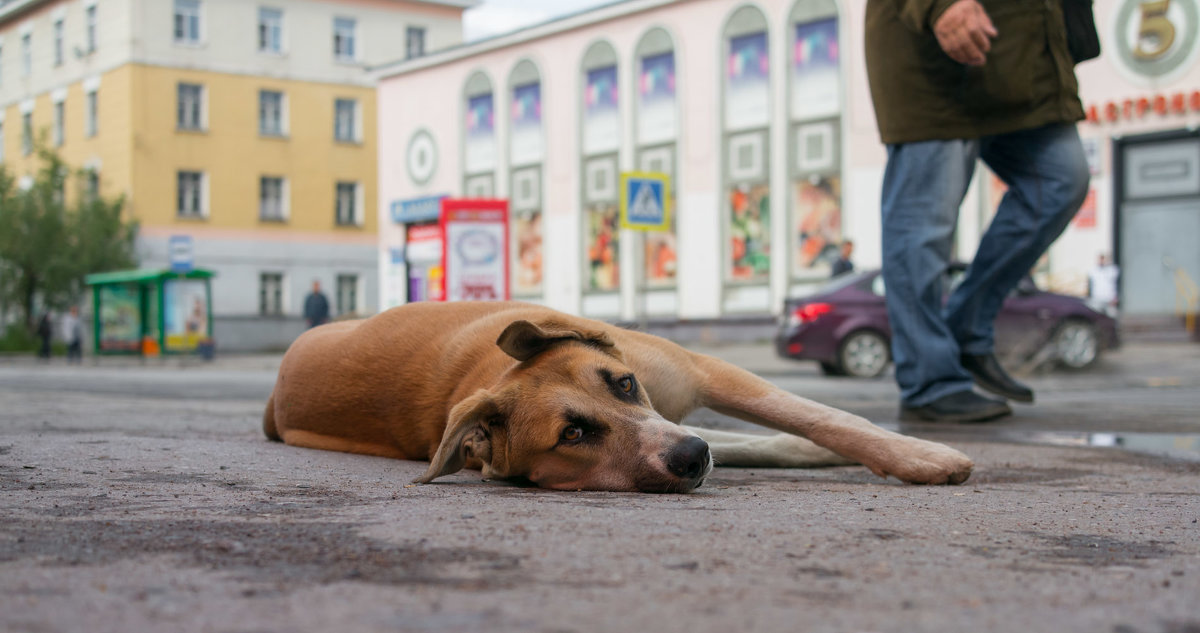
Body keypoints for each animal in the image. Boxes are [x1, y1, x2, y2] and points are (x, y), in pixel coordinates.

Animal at [265, 299, 974, 491]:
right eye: (573, 434)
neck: (489, 375)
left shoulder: (703, 374)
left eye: (625, 384)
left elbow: (816, 414)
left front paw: (918, 456)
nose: (690, 458)